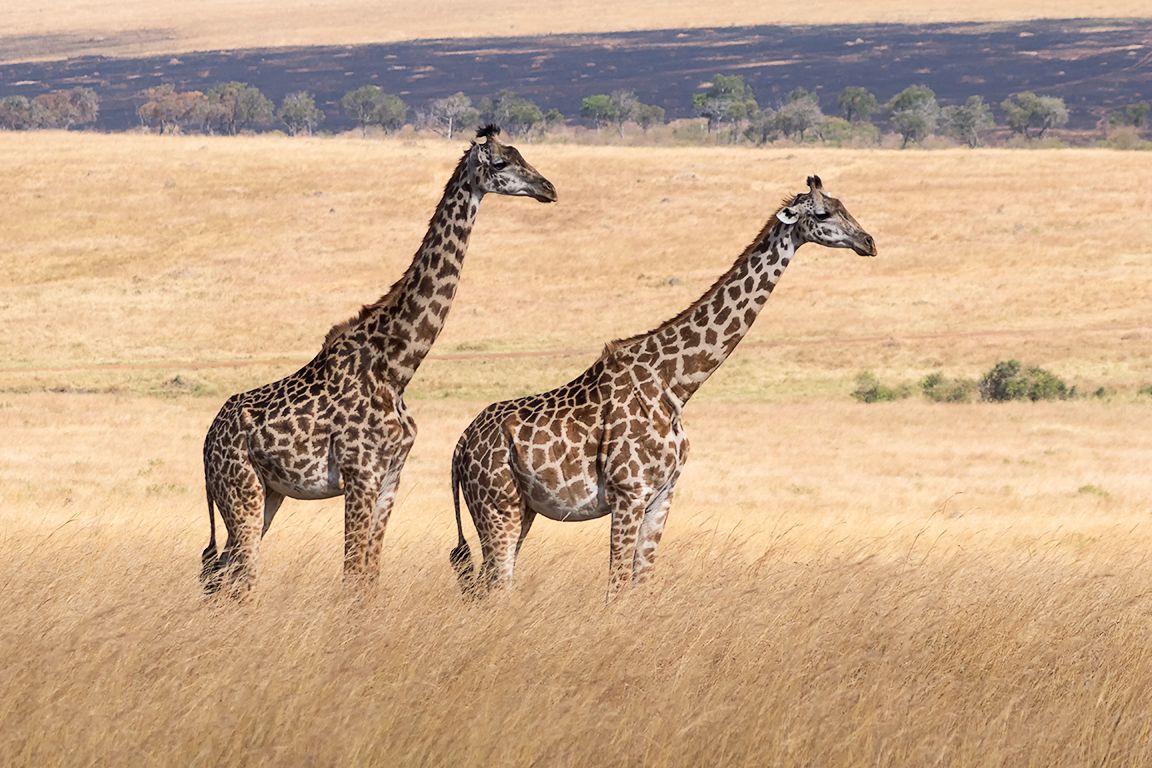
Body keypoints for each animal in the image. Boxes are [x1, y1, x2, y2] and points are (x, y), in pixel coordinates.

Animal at [201, 126, 557, 598]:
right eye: (500, 163)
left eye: (522, 155)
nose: (548, 188)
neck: (397, 367)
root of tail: (206, 443)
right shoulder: (360, 474)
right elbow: (353, 572)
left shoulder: (390, 477)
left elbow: (370, 574)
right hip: (240, 489)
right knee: (238, 573)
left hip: (265, 493)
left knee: (223, 571)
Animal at [449, 175, 875, 599]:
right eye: (824, 212)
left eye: (844, 205)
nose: (868, 241)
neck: (675, 385)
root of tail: (459, 448)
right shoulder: (629, 493)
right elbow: (616, 590)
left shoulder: (662, 496)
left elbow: (641, 586)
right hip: (497, 506)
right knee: (496, 586)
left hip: (521, 509)